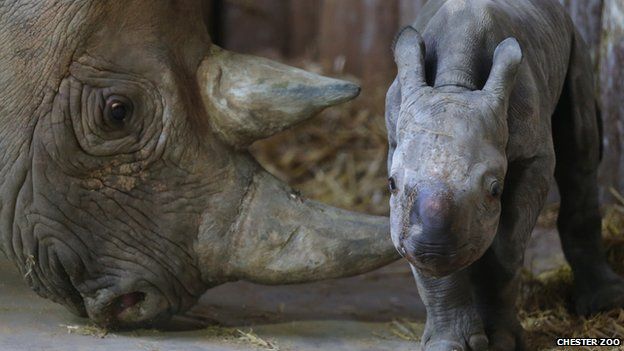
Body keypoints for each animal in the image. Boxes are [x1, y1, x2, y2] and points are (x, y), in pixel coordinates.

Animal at [386, 0, 624, 351]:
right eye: (391, 184)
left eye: (496, 189)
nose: (434, 247)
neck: (454, 84)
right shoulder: (395, 142)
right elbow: (428, 267)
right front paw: (449, 343)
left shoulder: (534, 156)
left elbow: (506, 251)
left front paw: (502, 342)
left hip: (576, 47)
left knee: (579, 153)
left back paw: (605, 302)